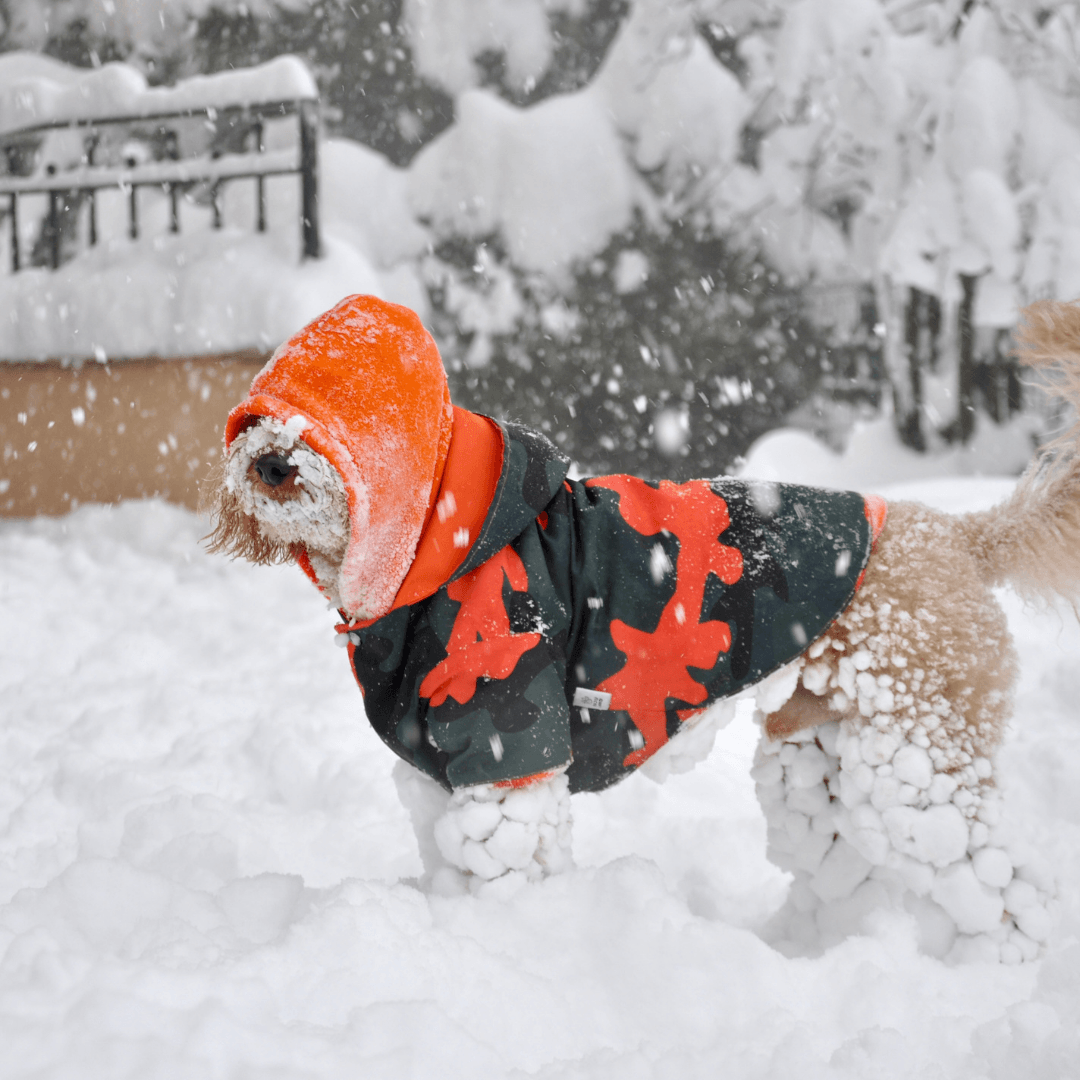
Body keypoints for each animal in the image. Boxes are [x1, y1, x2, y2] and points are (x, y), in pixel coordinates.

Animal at [204, 293, 1080, 963]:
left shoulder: (508, 757)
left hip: (911, 771)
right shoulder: (433, 773)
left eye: (332, 420)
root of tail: (961, 534)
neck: (439, 546)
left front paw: (502, 951)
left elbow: (506, 872)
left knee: (1013, 897)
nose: (273, 462)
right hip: (818, 771)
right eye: (258, 421)